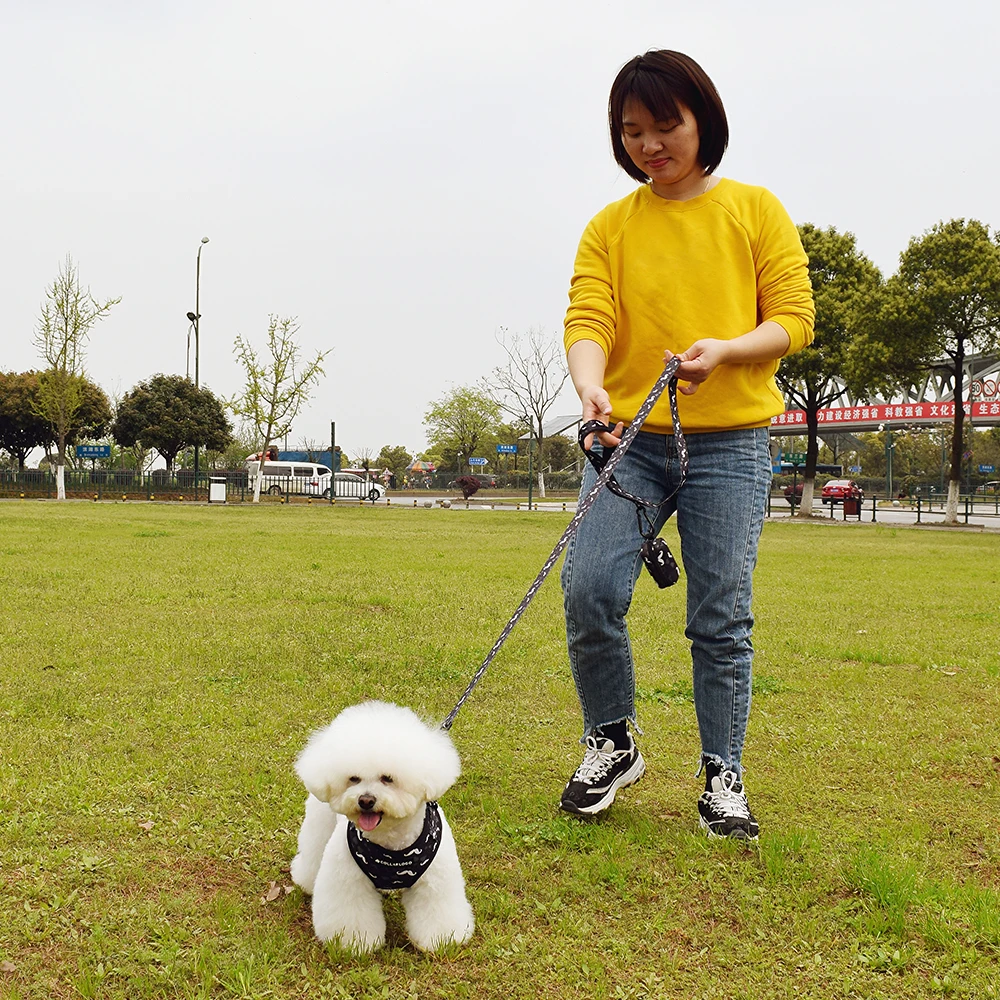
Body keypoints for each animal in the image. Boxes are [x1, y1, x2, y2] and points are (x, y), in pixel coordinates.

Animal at [290, 704, 476, 952]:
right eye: (354, 779)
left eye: (388, 778)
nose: (366, 800)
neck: (391, 845)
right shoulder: (348, 880)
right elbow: (351, 914)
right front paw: (354, 944)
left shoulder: (436, 881)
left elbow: (436, 909)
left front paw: (442, 940)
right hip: (319, 825)